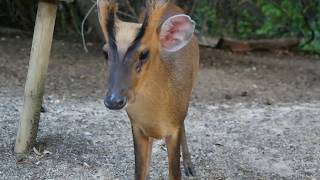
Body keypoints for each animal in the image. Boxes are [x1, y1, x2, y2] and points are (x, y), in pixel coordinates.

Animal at [96, 0, 199, 179]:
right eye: (105, 53)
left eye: (144, 54)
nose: (113, 100)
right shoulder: (136, 125)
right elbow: (139, 171)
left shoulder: (174, 128)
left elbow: (174, 173)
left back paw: (189, 166)